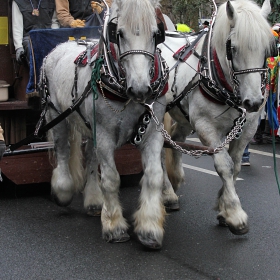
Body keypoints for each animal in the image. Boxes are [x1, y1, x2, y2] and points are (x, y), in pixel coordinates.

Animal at [41, 0, 168, 249]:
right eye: (119, 34)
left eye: (156, 34)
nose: (140, 89)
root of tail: (58, 48)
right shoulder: (105, 136)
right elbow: (110, 179)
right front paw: (114, 226)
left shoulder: (152, 133)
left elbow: (154, 175)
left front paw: (149, 228)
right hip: (56, 115)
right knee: (62, 150)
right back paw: (62, 190)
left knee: (90, 158)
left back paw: (93, 201)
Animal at [160, 0, 276, 235]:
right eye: (232, 48)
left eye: (268, 48)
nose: (254, 102)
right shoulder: (206, 127)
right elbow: (225, 166)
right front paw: (234, 213)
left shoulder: (247, 129)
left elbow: (236, 166)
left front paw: (223, 208)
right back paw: (167, 193)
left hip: (183, 117)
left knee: (175, 140)